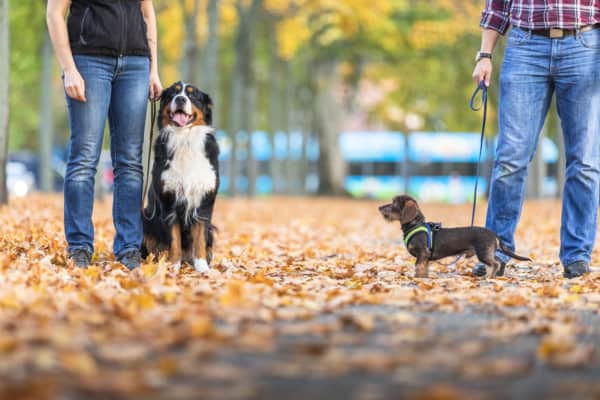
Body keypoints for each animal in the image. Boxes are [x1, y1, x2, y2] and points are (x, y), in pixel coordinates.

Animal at [142, 81, 219, 276]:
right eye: (172, 94)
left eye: (192, 95)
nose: (181, 99)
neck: (185, 139)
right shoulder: (169, 201)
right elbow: (174, 240)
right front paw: (173, 267)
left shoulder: (204, 201)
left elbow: (199, 239)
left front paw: (202, 267)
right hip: (145, 217)